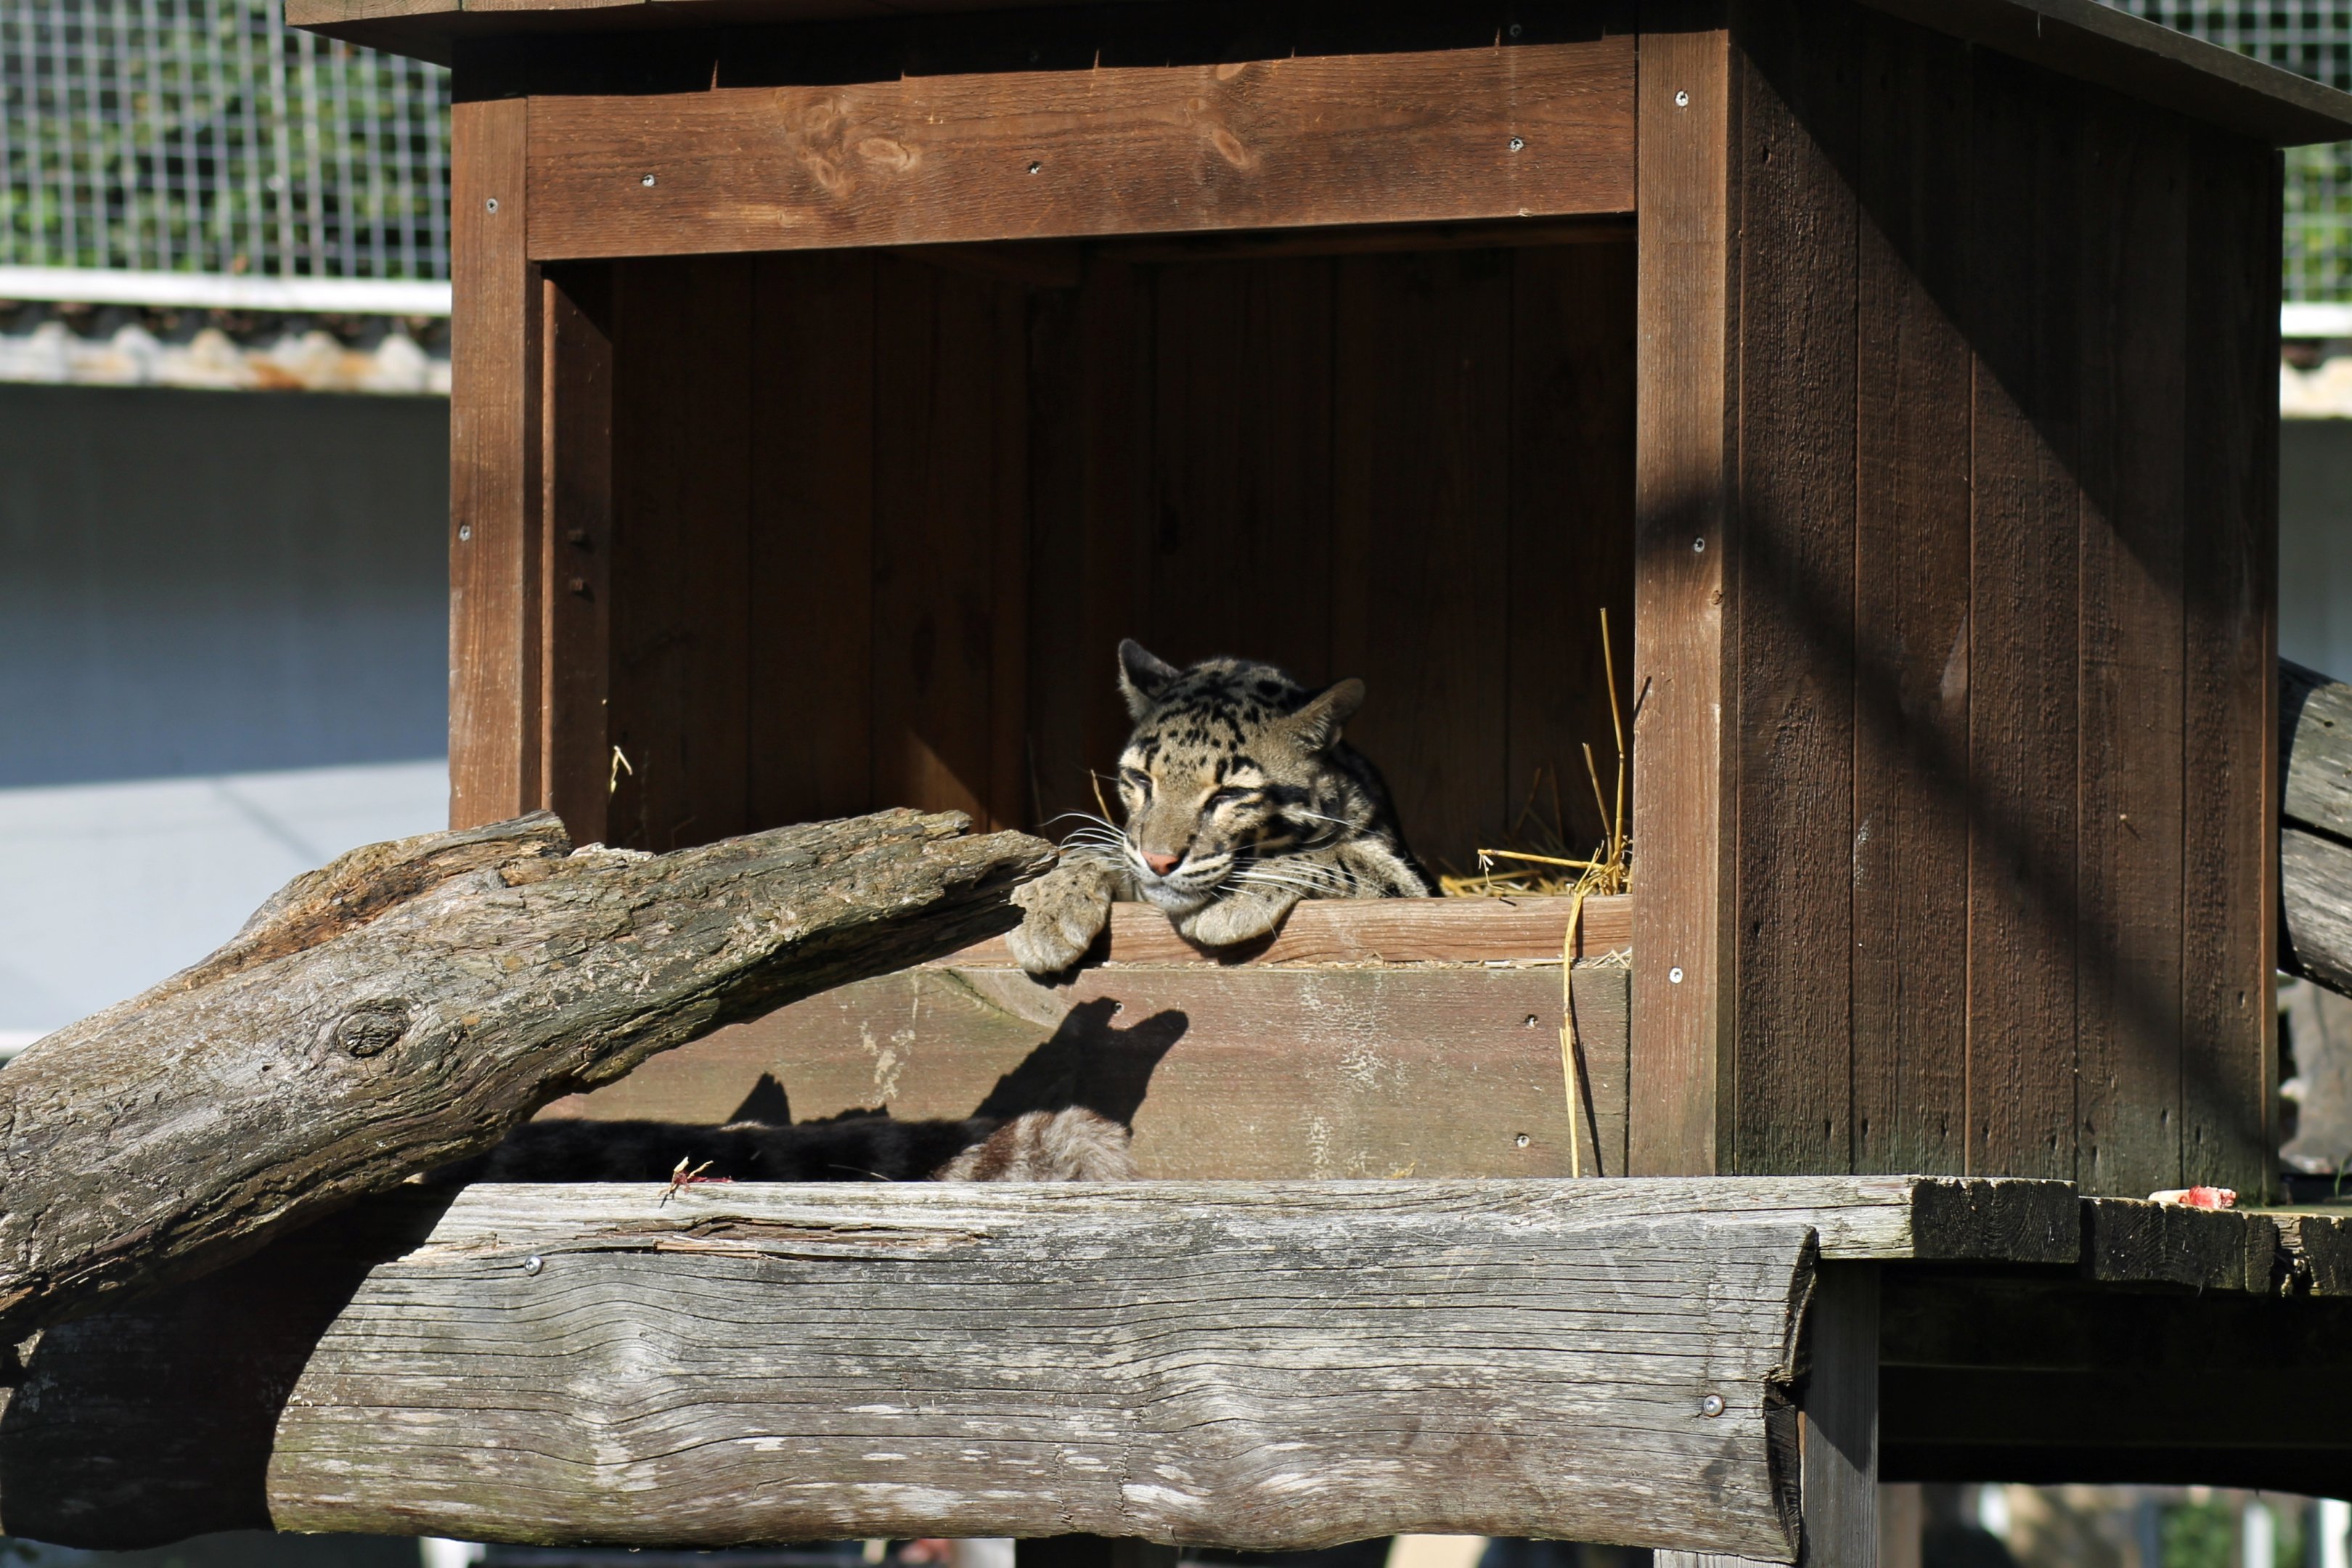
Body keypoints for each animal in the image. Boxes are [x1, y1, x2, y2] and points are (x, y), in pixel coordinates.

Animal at [1007, 640, 1429, 975]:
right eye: (1141, 779)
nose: (1158, 861)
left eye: (1230, 794)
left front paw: (1239, 894)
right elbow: (1097, 849)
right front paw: (1045, 903)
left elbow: (1345, 858)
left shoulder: (1414, 889)